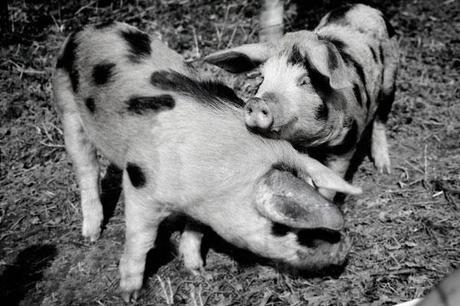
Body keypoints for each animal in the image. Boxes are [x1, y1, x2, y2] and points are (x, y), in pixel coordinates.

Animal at [54, 22, 362, 302]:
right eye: (283, 227)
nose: (346, 246)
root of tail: (88, 29)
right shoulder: (141, 183)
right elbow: (141, 239)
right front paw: (130, 295)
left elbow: (196, 231)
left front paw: (199, 272)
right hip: (67, 107)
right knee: (86, 169)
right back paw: (91, 236)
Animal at [203, 3, 398, 200]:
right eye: (262, 78)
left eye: (304, 81)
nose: (257, 102)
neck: (309, 143)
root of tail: (364, 7)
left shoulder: (344, 146)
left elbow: (331, 185)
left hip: (390, 74)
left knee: (381, 117)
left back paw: (384, 169)